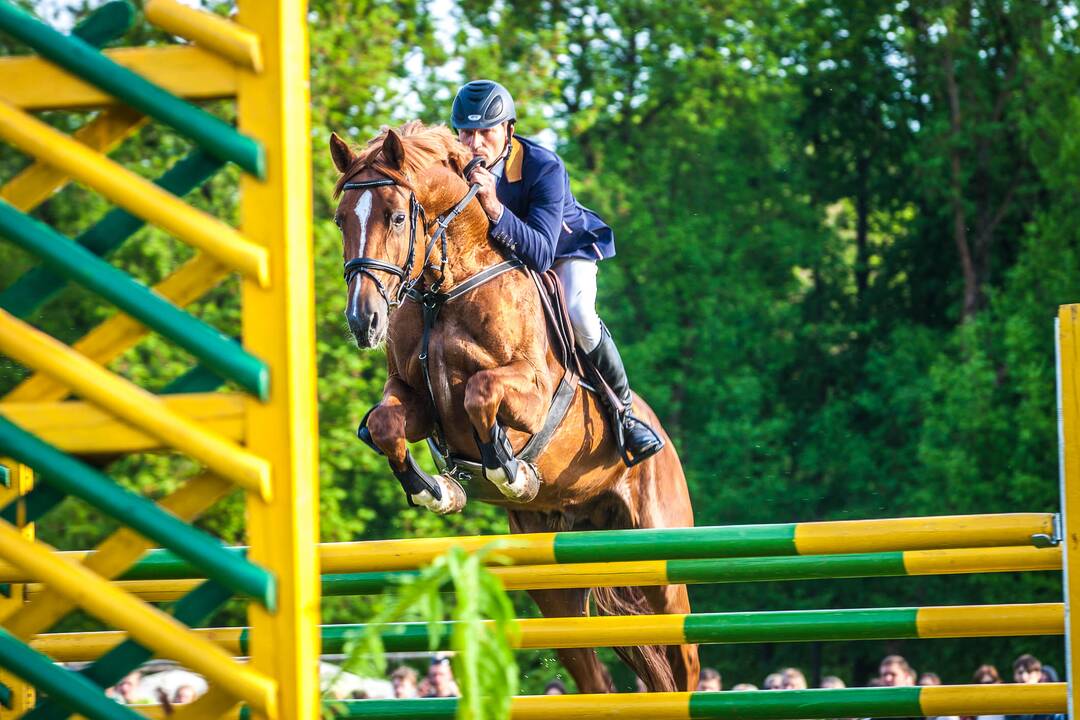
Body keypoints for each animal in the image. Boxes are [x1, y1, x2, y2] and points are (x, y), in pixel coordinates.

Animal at [328, 120, 699, 695]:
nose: (363, 321)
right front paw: (437, 491)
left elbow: (482, 392)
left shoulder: (532, 390)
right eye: (341, 219)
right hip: (558, 582)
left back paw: (631, 432)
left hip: (661, 559)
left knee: (684, 663)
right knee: (595, 677)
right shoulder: (416, 400)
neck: (444, 290)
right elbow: (386, 424)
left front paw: (509, 470)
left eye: (396, 216)